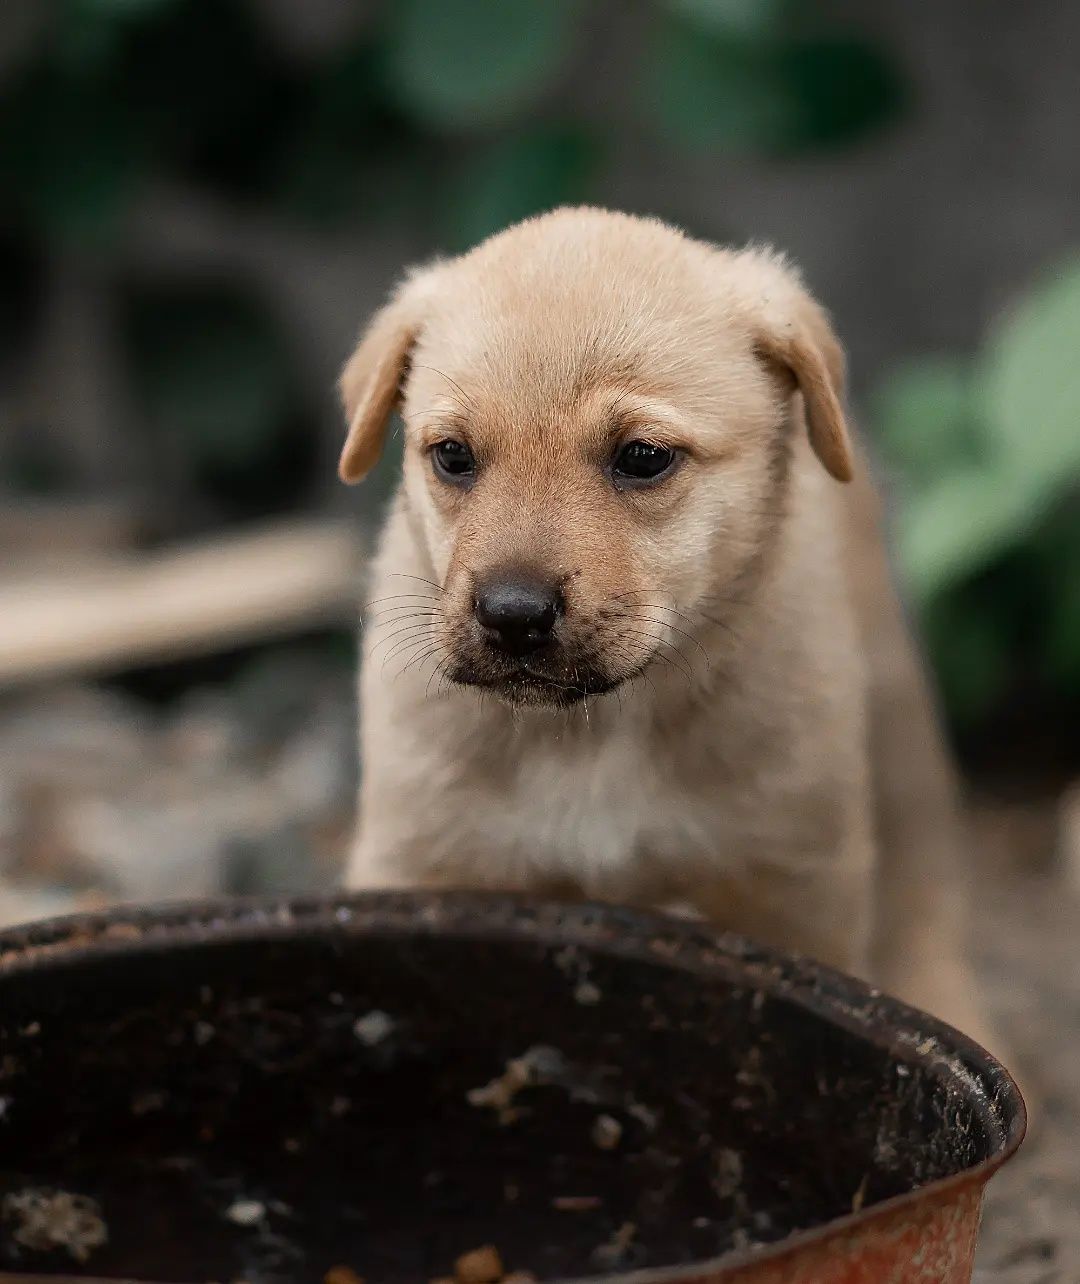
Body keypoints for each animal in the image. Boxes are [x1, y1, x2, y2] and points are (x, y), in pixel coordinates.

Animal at [339, 208, 1001, 1052]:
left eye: (643, 457)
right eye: (453, 456)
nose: (513, 615)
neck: (594, 733)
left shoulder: (789, 882)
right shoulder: (425, 861)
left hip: (898, 720)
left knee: (926, 891)